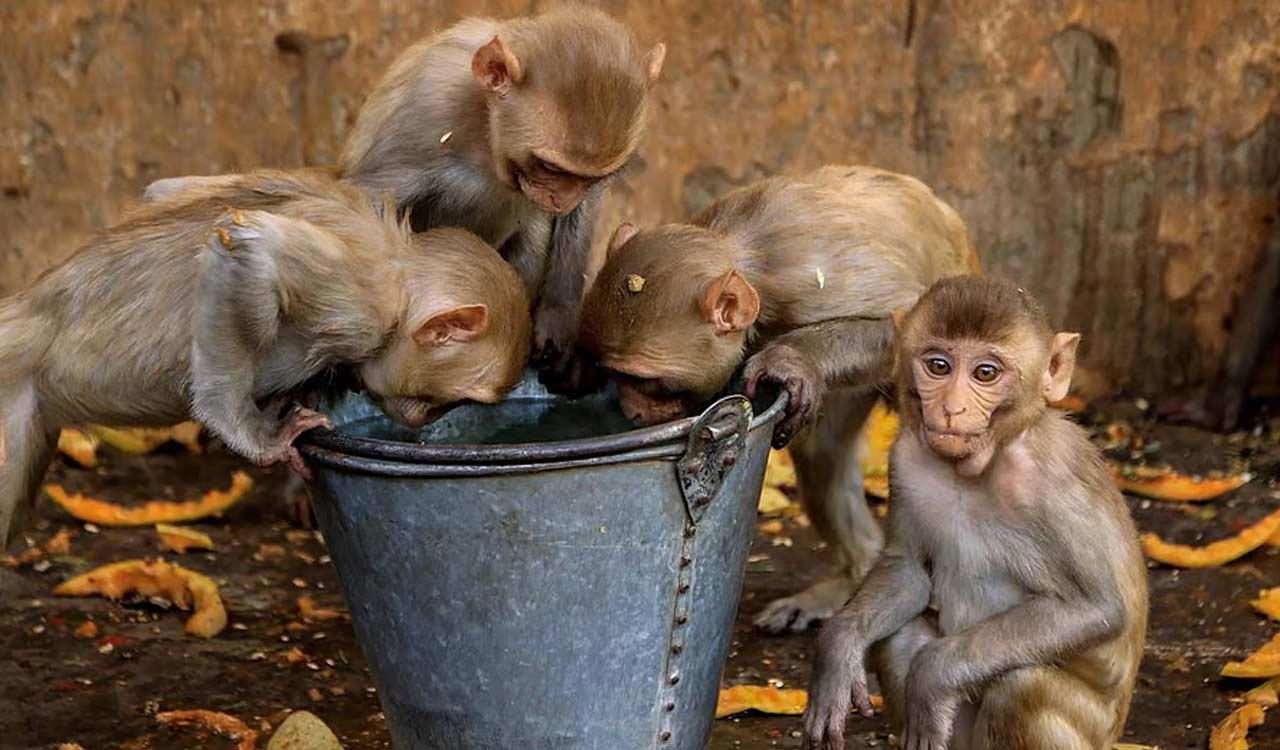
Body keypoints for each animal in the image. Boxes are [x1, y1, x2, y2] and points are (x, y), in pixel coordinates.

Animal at [0, 169, 531, 547]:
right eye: (444, 401)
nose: (424, 421)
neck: (400, 271)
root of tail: (21, 311)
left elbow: (165, 191)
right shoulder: (361, 303)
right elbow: (246, 246)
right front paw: (252, 434)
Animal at [334, 4, 666, 392]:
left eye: (588, 178)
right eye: (548, 166)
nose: (561, 199)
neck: (488, 129)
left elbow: (580, 211)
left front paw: (560, 315)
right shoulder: (425, 116)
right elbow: (365, 201)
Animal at [578, 165, 979, 632]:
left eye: (646, 381)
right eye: (613, 375)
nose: (631, 410)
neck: (749, 259)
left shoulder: (810, 281)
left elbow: (908, 323)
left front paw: (791, 358)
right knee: (822, 454)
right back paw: (853, 580)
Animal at [803, 275, 1148, 750]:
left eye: (986, 373)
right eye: (938, 366)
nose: (952, 408)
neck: (981, 463)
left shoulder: (1056, 478)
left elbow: (1096, 608)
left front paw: (932, 674)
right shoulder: (906, 458)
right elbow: (908, 569)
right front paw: (839, 646)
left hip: (1088, 735)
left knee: (1022, 685)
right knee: (899, 636)